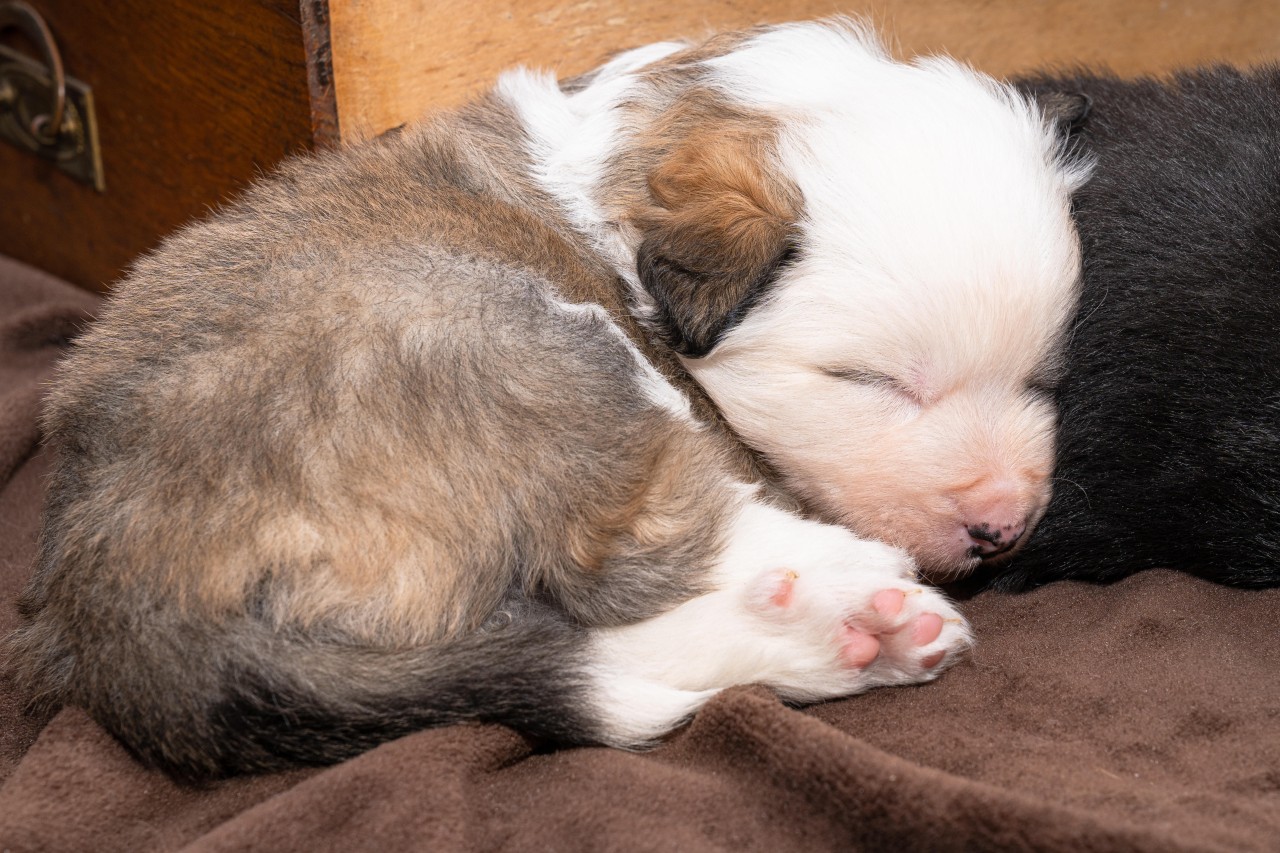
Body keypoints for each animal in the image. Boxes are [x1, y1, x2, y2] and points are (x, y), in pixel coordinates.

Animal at [7, 21, 1090, 778]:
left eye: (1041, 376)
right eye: (872, 381)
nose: (1002, 525)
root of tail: (114, 607)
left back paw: (841, 640)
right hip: (516, 347)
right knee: (638, 554)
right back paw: (848, 599)